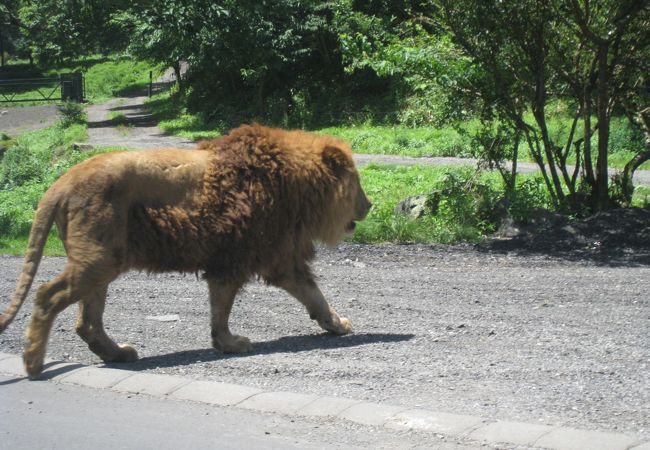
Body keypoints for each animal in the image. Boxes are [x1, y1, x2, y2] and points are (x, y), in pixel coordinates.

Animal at [0, 122, 370, 376]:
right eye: (358, 183)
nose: (369, 205)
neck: (297, 187)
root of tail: (60, 182)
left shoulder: (277, 257)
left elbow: (313, 295)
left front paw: (337, 324)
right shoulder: (235, 256)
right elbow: (222, 308)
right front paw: (231, 344)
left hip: (104, 259)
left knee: (86, 320)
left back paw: (118, 353)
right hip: (98, 256)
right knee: (47, 295)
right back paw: (34, 362)